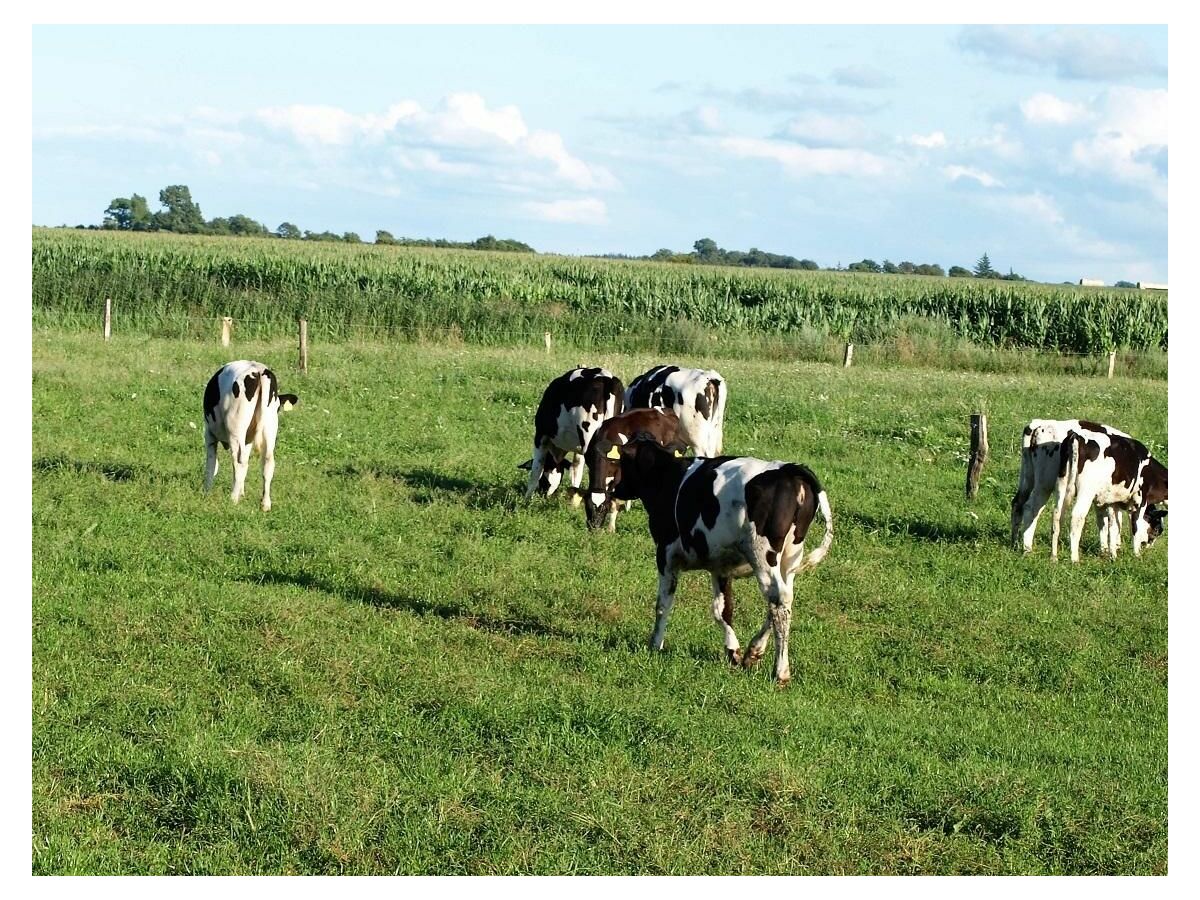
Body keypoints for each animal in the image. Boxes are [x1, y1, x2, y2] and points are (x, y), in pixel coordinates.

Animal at [202, 362, 298, 513]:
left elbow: (212, 464)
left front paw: (207, 492)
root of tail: (259, 369)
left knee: (238, 462)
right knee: (267, 462)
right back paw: (265, 504)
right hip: (269, 428)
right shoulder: (248, 439)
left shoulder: (209, 433)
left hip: (235, 429)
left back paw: (233, 499)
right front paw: (241, 492)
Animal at [518, 367, 624, 508]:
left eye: (544, 482)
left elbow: (536, 470)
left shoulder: (541, 436)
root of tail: (605, 378)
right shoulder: (578, 448)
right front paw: (573, 503)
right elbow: (576, 471)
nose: (546, 496)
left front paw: (526, 501)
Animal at [609, 441, 835, 681]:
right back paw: (754, 651)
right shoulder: (720, 567)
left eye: (623, 460)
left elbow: (663, 604)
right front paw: (733, 651)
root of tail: (790, 469)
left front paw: (655, 644)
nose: (615, 489)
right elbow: (722, 610)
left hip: (763, 555)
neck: (667, 476)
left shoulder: (666, 554)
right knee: (783, 601)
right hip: (790, 559)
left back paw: (780, 671)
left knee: (778, 601)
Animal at [1008, 417, 1128, 556]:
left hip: (1027, 476)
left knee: (1017, 503)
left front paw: (1106, 549)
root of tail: (1038, 425)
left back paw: (1015, 543)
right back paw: (1027, 548)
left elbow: (1103, 519)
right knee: (1031, 508)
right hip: (1044, 483)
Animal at [1056, 429, 1166, 564]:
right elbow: (1135, 527)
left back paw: (1054, 557)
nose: (1149, 549)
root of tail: (1077, 435)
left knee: (1057, 516)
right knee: (1077, 517)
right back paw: (1075, 559)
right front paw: (1136, 555)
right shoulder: (1139, 501)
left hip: (1062, 485)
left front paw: (1111, 554)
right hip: (1086, 491)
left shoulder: (1111, 503)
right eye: (1156, 530)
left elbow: (1111, 526)